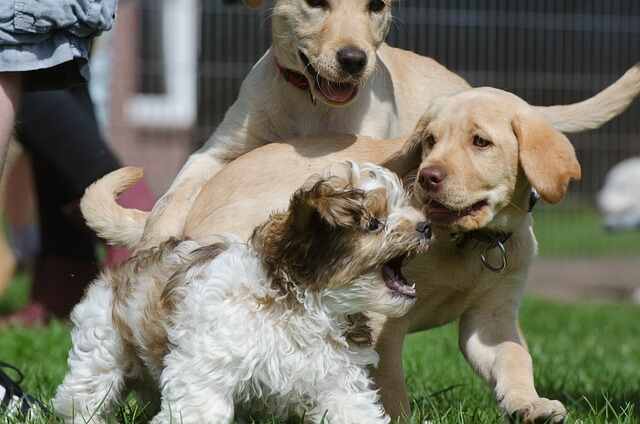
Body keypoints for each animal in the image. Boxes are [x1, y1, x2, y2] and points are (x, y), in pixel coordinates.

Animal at [53, 162, 430, 424]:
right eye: (374, 224)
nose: (426, 226)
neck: (305, 305)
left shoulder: (337, 377)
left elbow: (354, 408)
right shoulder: (205, 365)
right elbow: (201, 408)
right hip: (102, 345)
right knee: (86, 393)